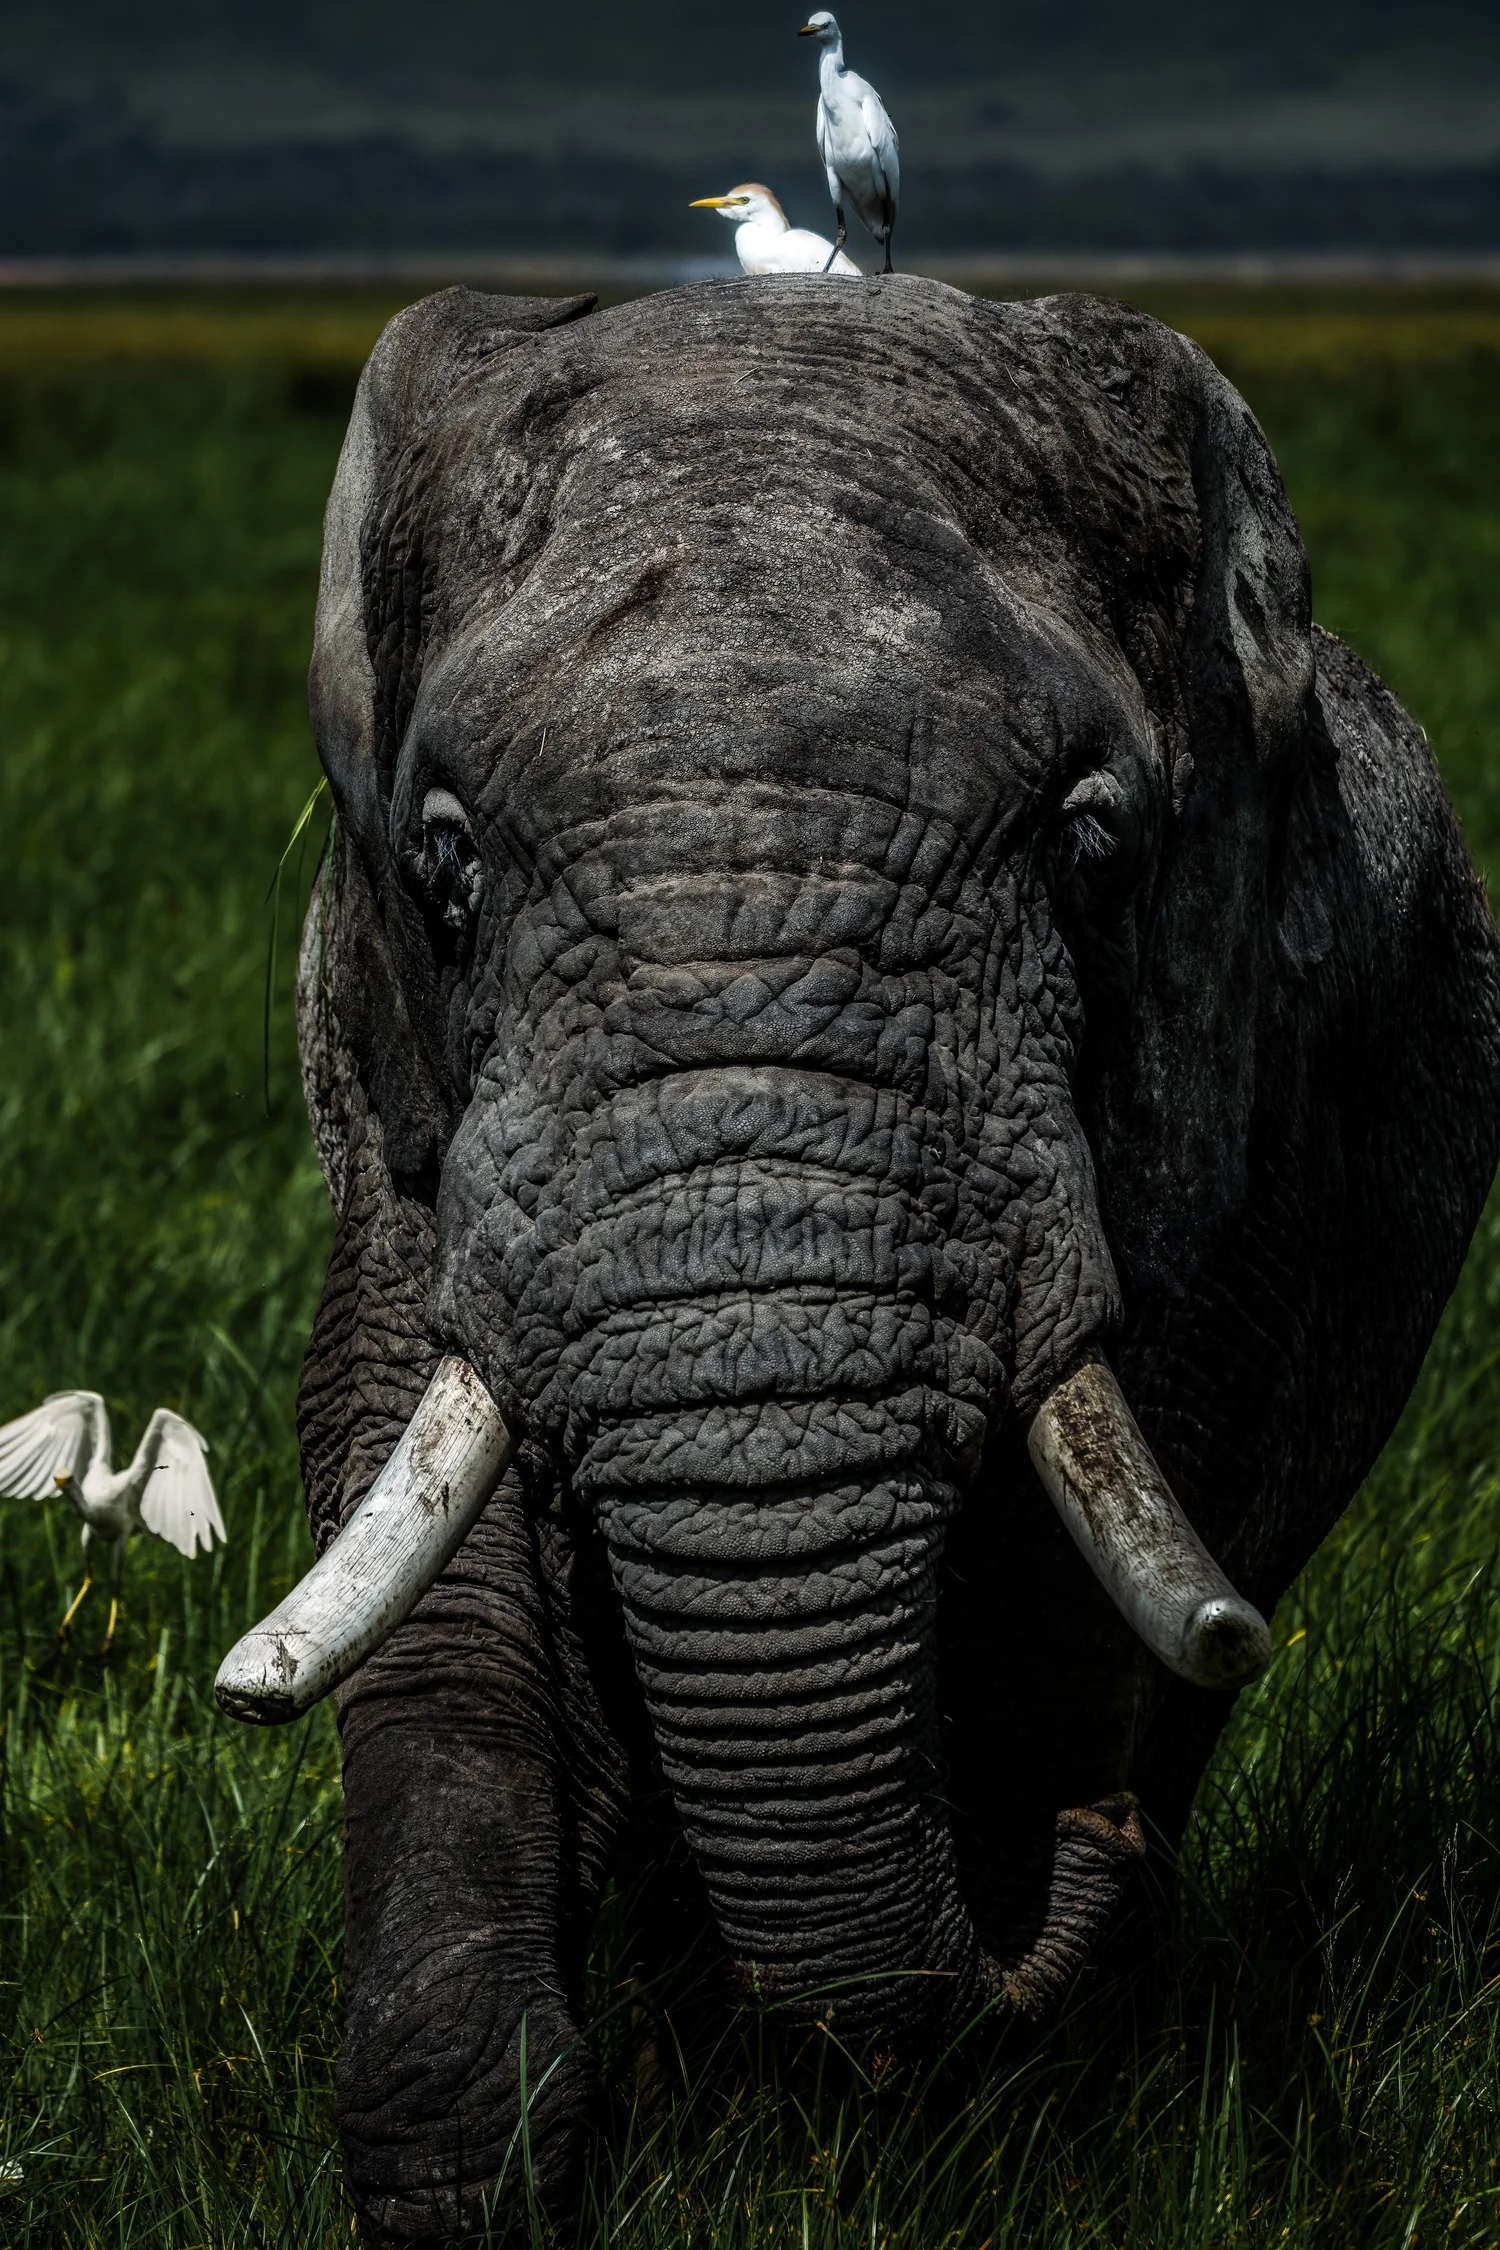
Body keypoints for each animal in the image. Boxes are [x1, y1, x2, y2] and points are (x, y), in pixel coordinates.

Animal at [222, 275, 1500, 2239]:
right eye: (443, 861)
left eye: (1090, 845)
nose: (1085, 1851)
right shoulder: (386, 1066)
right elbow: (408, 1507)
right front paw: (476, 2174)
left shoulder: (1248, 1094)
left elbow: (1083, 1556)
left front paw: (979, 2095)